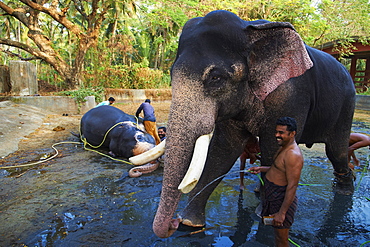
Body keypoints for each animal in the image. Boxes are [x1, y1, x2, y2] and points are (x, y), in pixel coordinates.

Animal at [145, 10, 356, 238]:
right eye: (171, 74)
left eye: (216, 78)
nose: (172, 225)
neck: (251, 31)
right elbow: (224, 150)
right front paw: (190, 222)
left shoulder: (290, 96)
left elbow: (274, 149)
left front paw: (264, 215)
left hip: (346, 106)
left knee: (336, 151)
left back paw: (345, 189)